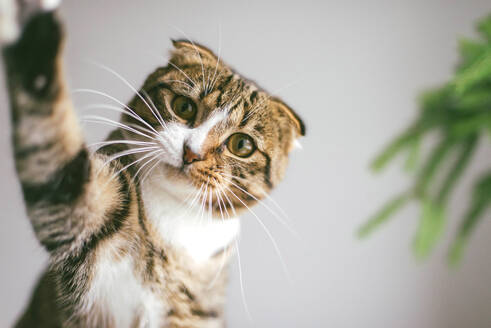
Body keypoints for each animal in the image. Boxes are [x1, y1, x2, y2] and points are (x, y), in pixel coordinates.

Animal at [1, 3, 306, 328]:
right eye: (184, 106)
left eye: (242, 145)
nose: (192, 153)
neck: (177, 216)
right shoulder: (90, 208)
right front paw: (33, 36)